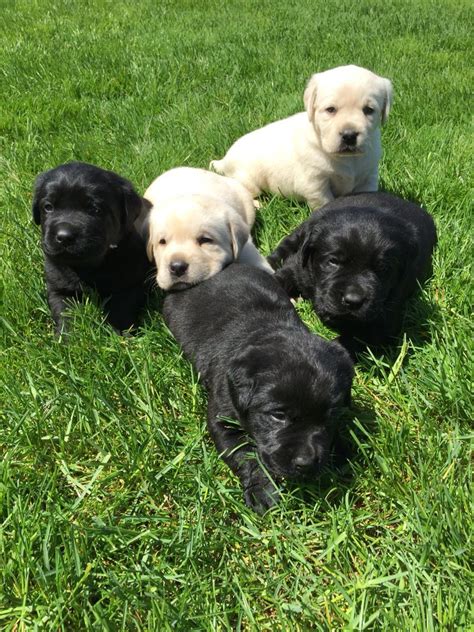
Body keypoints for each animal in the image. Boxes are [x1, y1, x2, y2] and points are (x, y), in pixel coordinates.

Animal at [32, 160, 152, 334]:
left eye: (95, 209)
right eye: (48, 207)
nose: (64, 236)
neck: (88, 267)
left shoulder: (131, 284)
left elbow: (121, 310)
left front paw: (118, 335)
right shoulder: (58, 288)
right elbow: (64, 313)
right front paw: (66, 337)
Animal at [163, 262, 352, 512]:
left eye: (330, 417)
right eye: (278, 416)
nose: (307, 463)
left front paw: (342, 451)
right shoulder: (224, 418)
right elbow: (245, 455)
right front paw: (263, 492)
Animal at [211, 65, 392, 211]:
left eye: (368, 110)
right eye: (330, 109)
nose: (349, 135)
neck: (347, 159)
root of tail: (224, 160)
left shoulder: (369, 175)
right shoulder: (315, 182)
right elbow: (325, 202)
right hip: (247, 178)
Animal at [266, 193, 436, 350]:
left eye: (383, 268)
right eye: (333, 261)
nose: (353, 300)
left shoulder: (384, 321)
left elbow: (349, 343)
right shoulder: (299, 269)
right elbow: (280, 278)